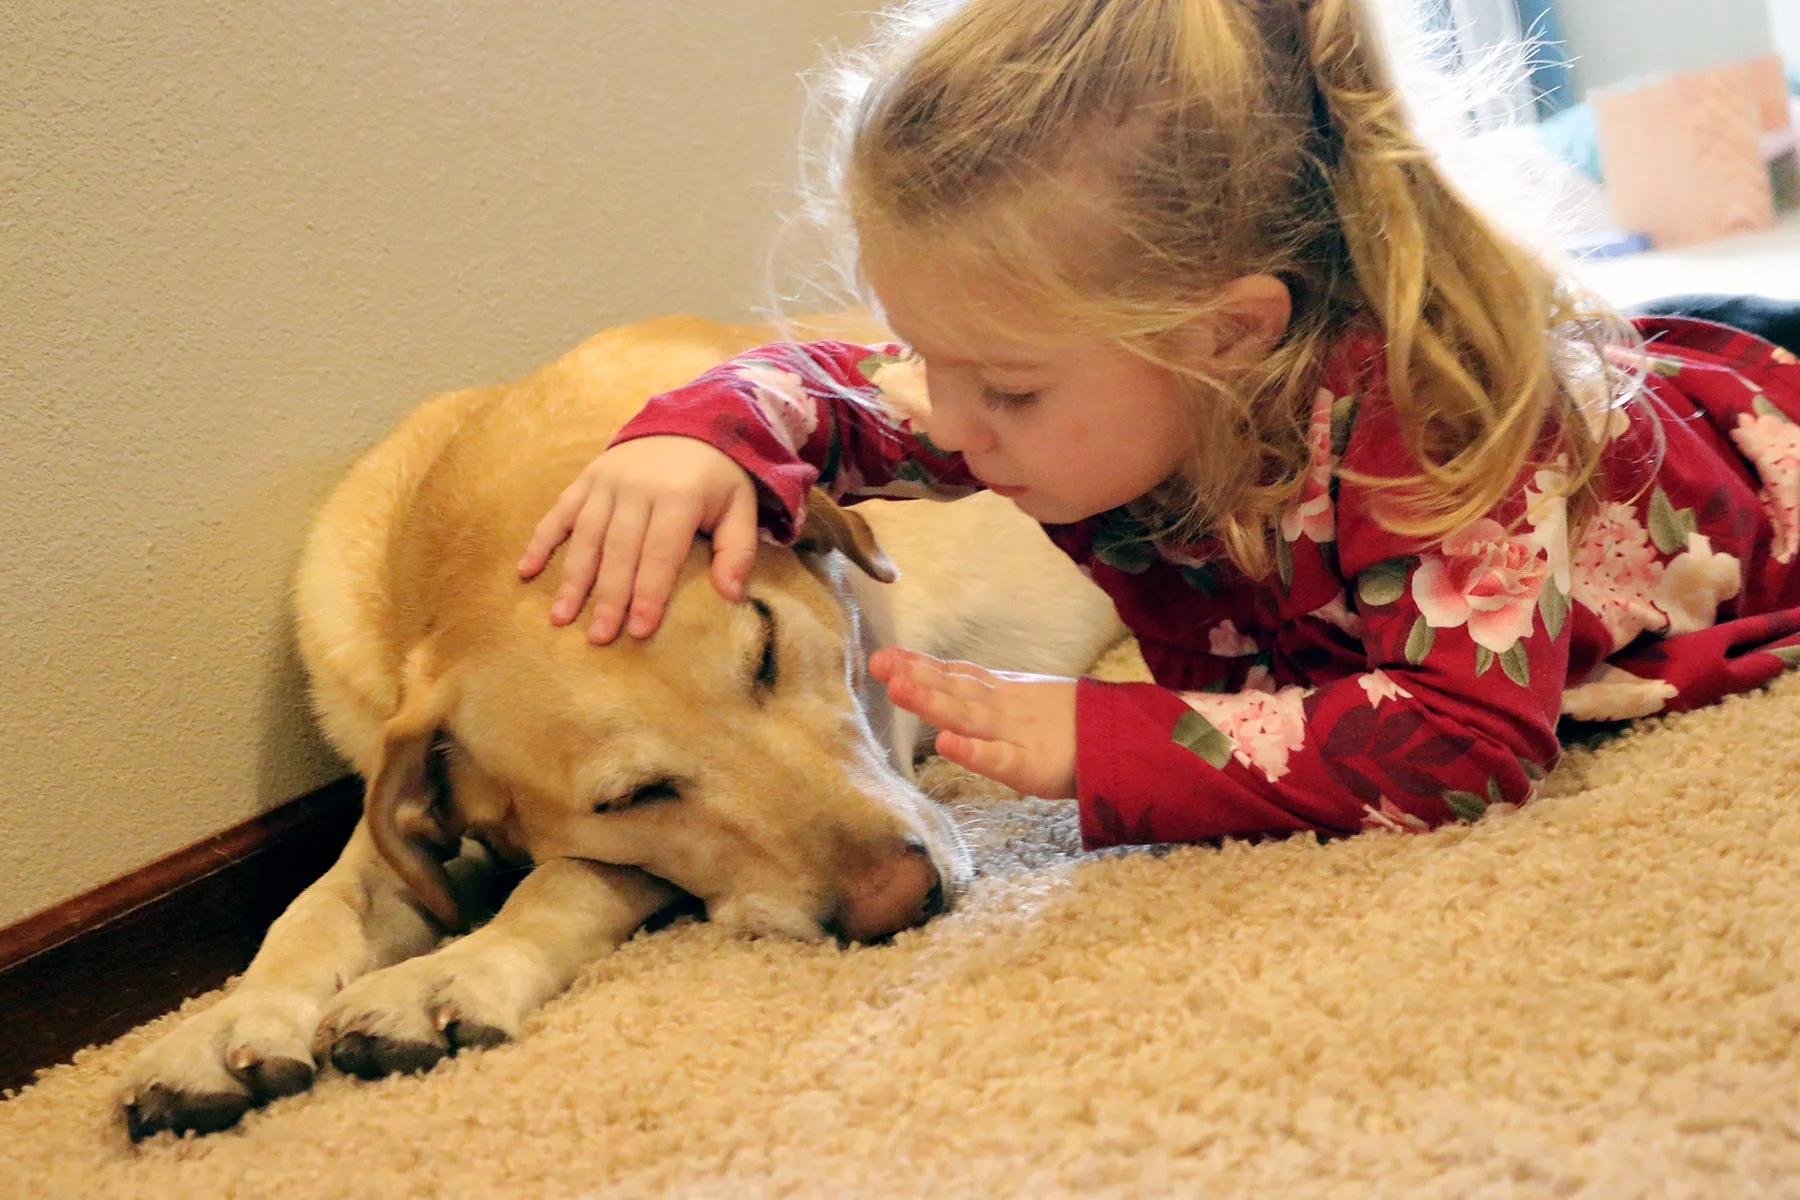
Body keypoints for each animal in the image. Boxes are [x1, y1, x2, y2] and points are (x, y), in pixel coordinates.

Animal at [116, 314, 1123, 1144]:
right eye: (633, 796)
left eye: (765, 649)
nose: (901, 900)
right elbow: (320, 907)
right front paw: (226, 1025)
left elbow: (566, 880)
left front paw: (447, 974)